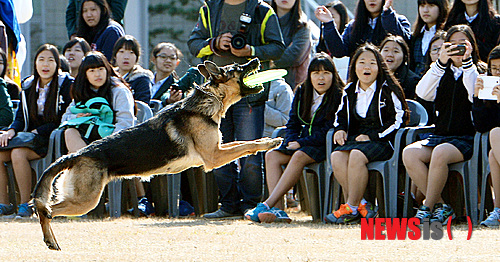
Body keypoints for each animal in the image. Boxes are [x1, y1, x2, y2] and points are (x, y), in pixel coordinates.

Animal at [31, 57, 284, 250]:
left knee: (43, 209)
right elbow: (245, 145)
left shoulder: (218, 150)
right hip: (85, 201)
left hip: (82, 200)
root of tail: (74, 156)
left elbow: (246, 141)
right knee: (45, 210)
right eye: (238, 67)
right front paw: (270, 142)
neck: (209, 100)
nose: (256, 59)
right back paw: (50, 240)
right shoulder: (214, 156)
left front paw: (267, 141)